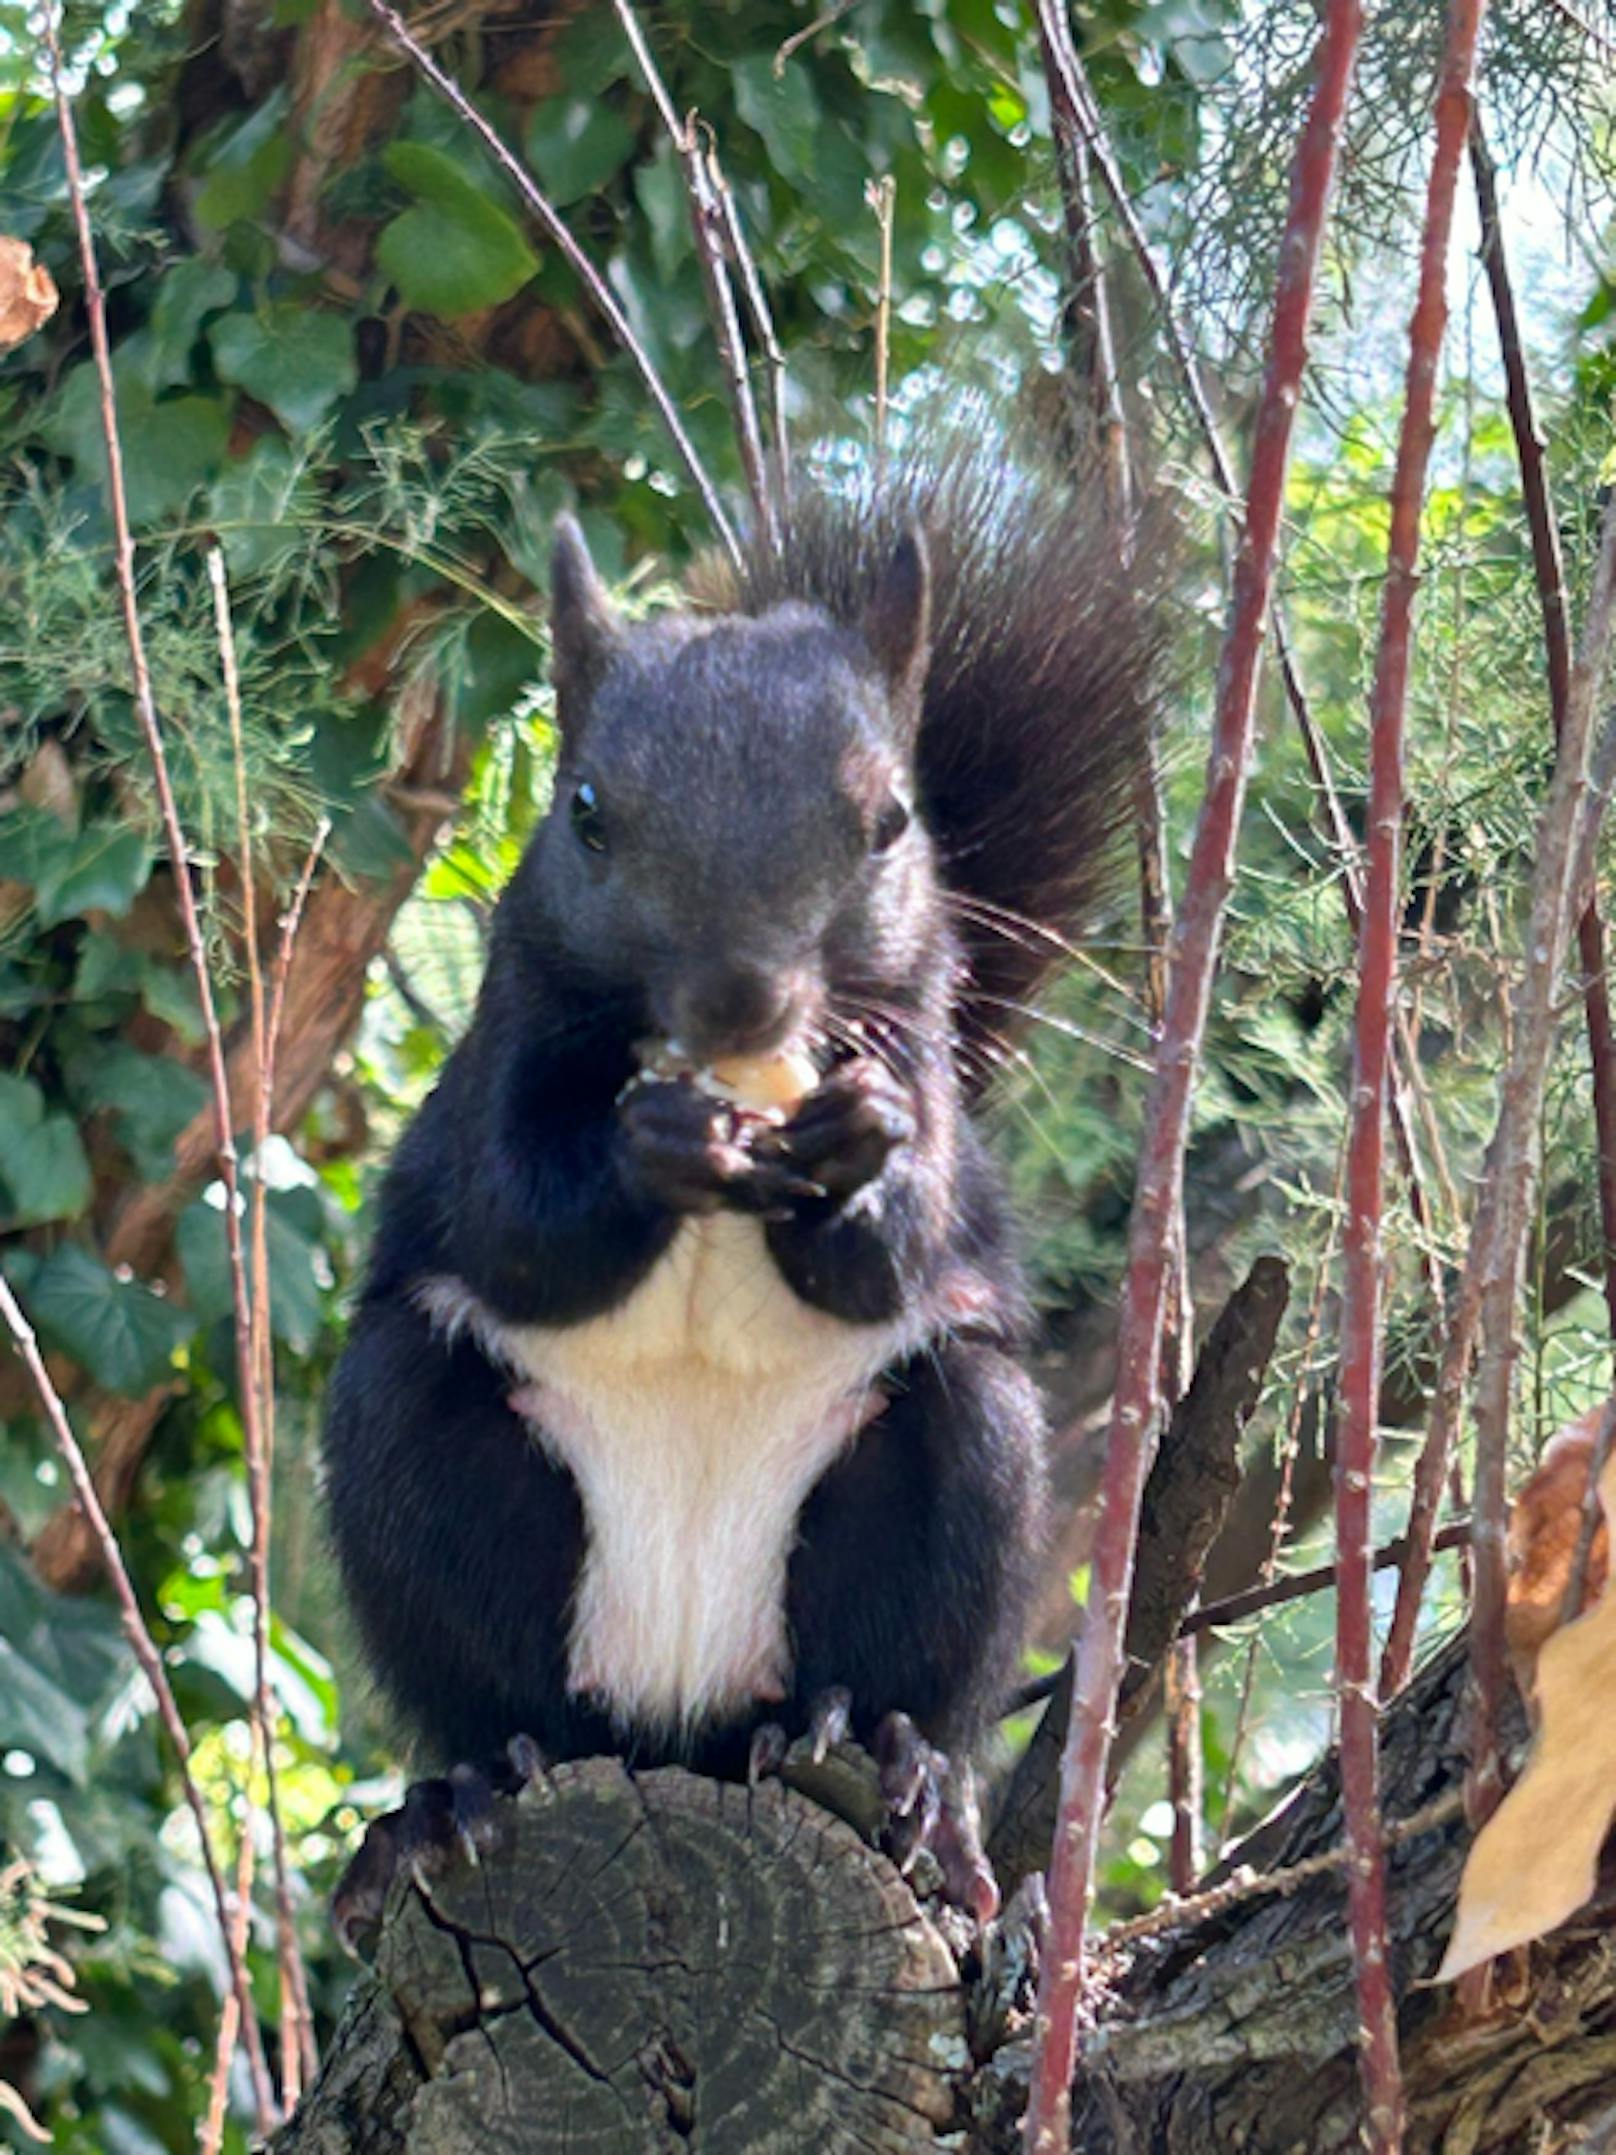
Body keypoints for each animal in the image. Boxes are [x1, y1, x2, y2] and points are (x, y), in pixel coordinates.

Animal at [325, 437, 1163, 1939]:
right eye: (584, 814)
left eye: (891, 819)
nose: (740, 1001)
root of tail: (680, 1717)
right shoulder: (500, 1049)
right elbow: (516, 1224)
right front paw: (649, 1144)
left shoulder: (927, 1046)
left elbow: (901, 1244)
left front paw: (859, 1146)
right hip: (423, 1467)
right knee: (492, 1687)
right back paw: (449, 1798)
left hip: (956, 1470)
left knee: (907, 1648)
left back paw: (906, 1771)